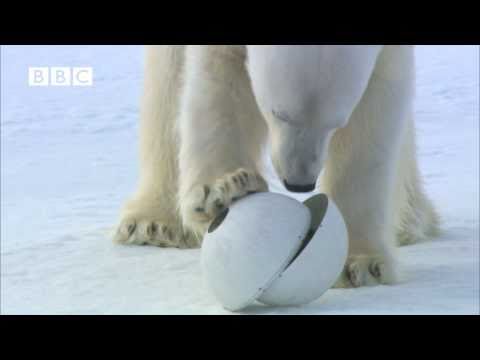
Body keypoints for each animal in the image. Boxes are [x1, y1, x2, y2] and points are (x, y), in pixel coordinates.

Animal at [111, 45, 438, 286]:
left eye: (337, 122)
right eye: (279, 113)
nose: (299, 183)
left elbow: (376, 111)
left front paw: (361, 264)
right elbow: (216, 78)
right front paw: (223, 193)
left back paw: (409, 221)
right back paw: (154, 224)